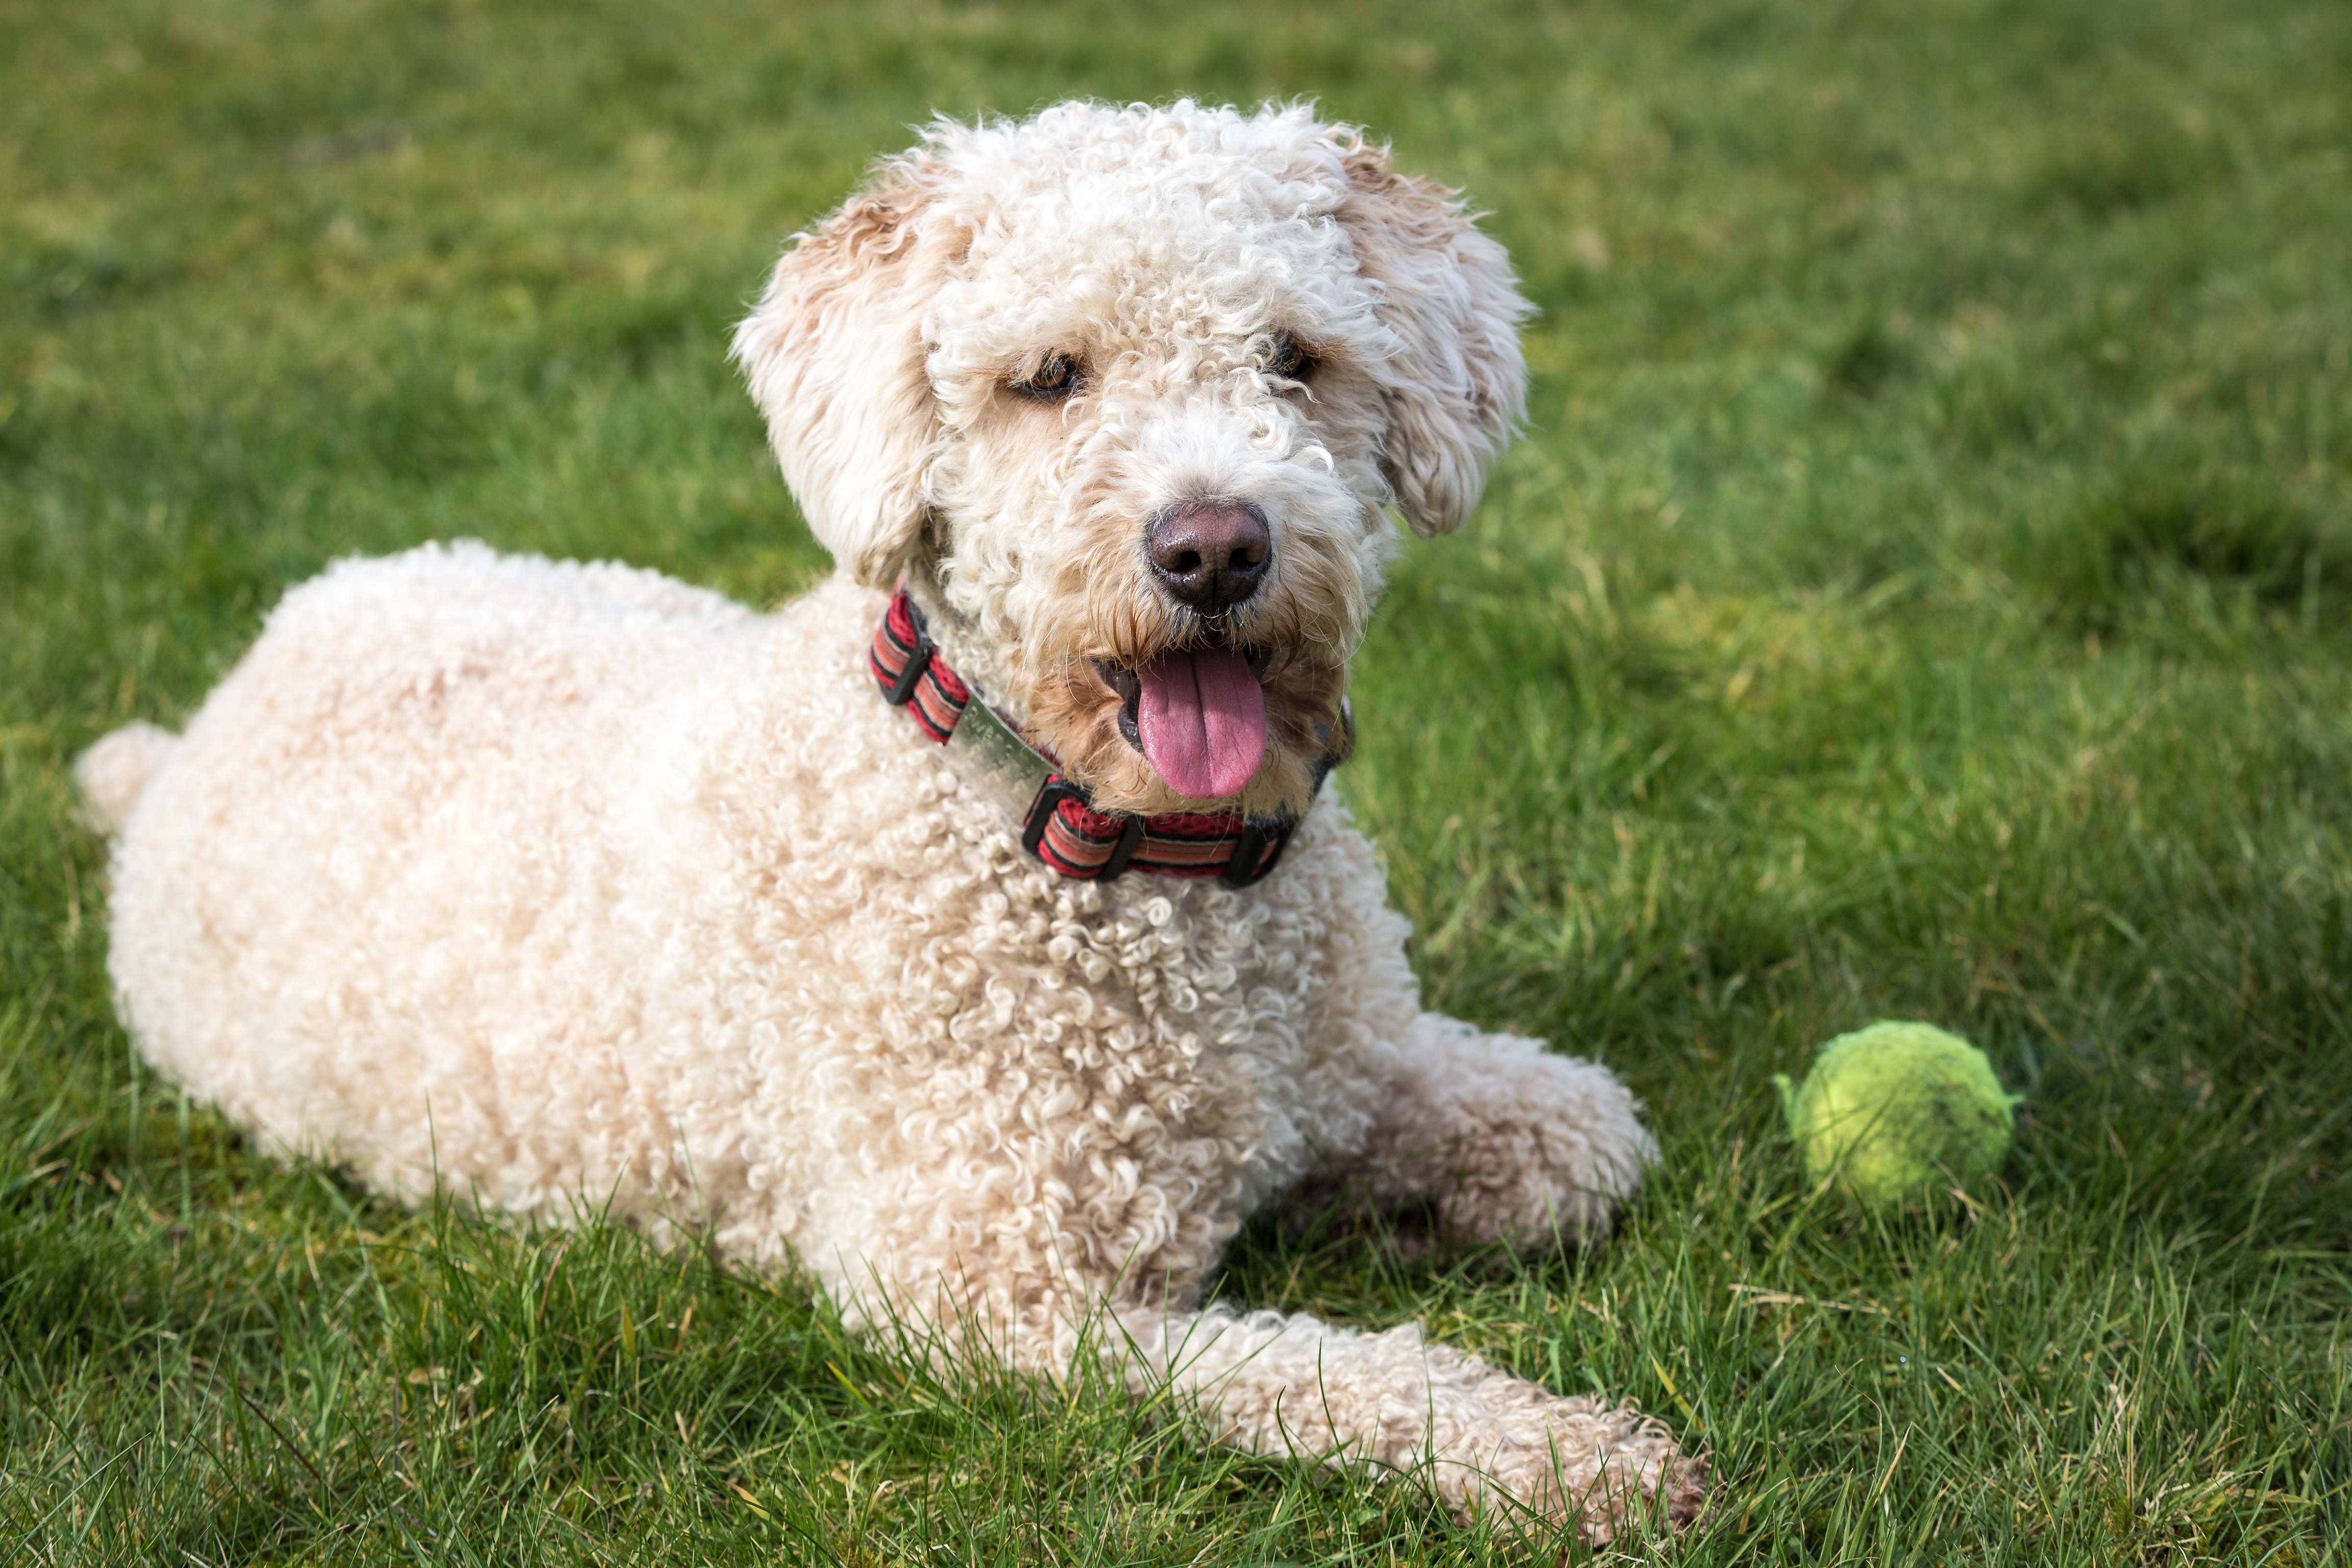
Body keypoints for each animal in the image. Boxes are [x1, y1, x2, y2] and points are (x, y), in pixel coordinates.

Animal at [83, 101, 1712, 1542]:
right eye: (1049, 377)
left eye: (1294, 361)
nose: (1213, 549)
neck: (1124, 861)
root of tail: (210, 712)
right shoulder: (997, 1299)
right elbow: (1322, 1376)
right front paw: (1560, 1455)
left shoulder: (1364, 1068)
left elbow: (1585, 1137)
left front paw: (1406, 1217)